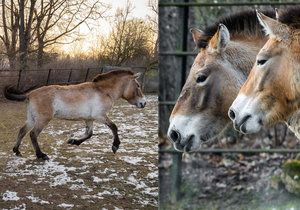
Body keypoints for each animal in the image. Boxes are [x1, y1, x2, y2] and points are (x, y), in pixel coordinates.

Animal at [4, 69, 145, 160]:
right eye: (138, 85)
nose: (144, 103)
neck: (103, 91)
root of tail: (29, 94)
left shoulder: (89, 119)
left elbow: (89, 134)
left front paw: (73, 141)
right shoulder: (100, 116)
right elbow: (114, 127)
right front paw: (115, 146)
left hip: (32, 119)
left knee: (22, 131)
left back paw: (17, 151)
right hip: (42, 120)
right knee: (33, 134)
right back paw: (41, 155)